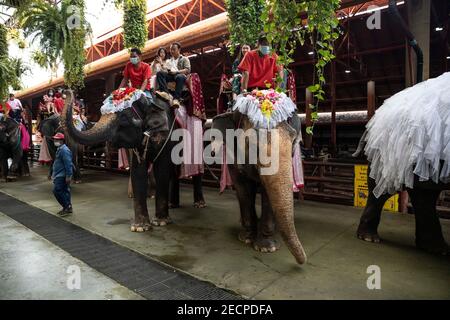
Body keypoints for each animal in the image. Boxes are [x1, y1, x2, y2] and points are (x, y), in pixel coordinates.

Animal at [62, 89, 178, 231]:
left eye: (123, 117)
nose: (67, 91)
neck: (149, 101)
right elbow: (138, 171)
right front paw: (140, 228)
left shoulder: (167, 136)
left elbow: (162, 169)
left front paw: (161, 222)